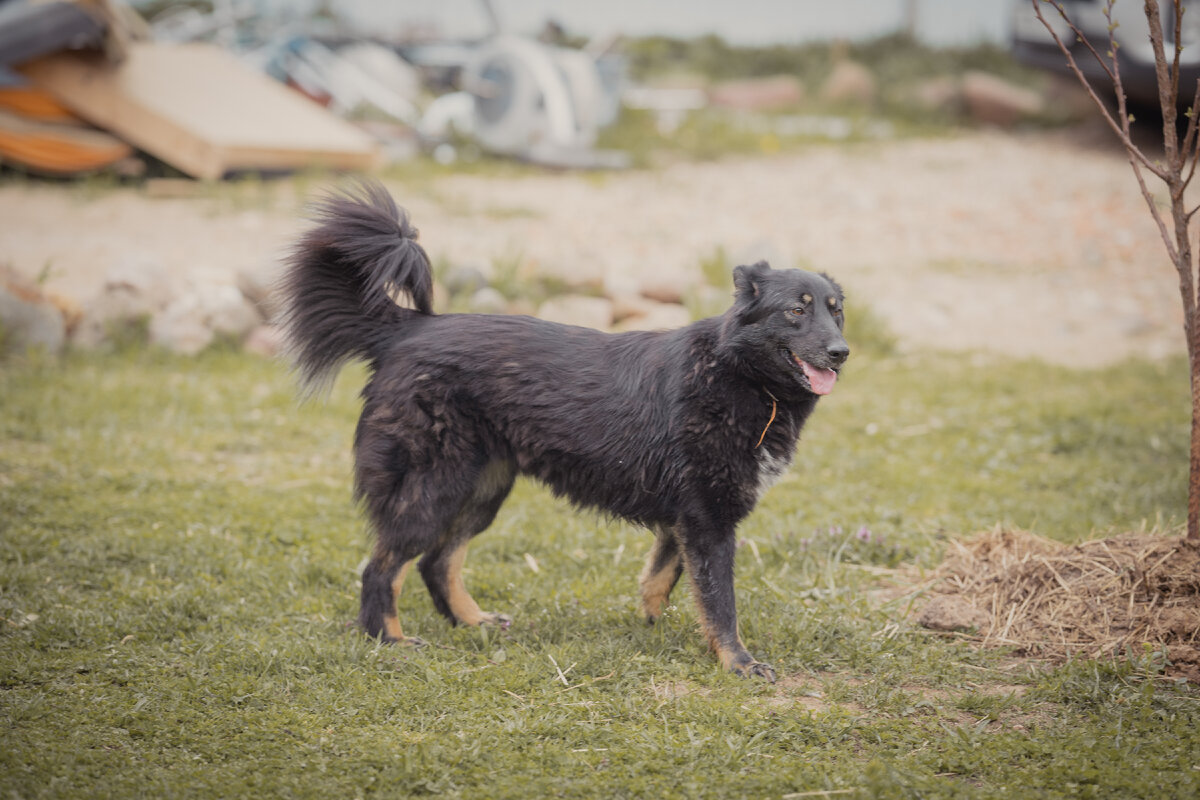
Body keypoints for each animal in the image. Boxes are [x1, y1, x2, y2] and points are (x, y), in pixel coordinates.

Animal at [277, 183, 849, 681]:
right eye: (795, 311)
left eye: (836, 312)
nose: (842, 353)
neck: (741, 378)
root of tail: (408, 329)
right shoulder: (709, 520)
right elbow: (721, 602)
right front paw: (738, 662)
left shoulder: (687, 516)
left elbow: (665, 574)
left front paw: (651, 618)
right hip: (434, 486)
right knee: (382, 567)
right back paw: (389, 640)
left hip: (482, 489)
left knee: (437, 563)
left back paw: (472, 622)